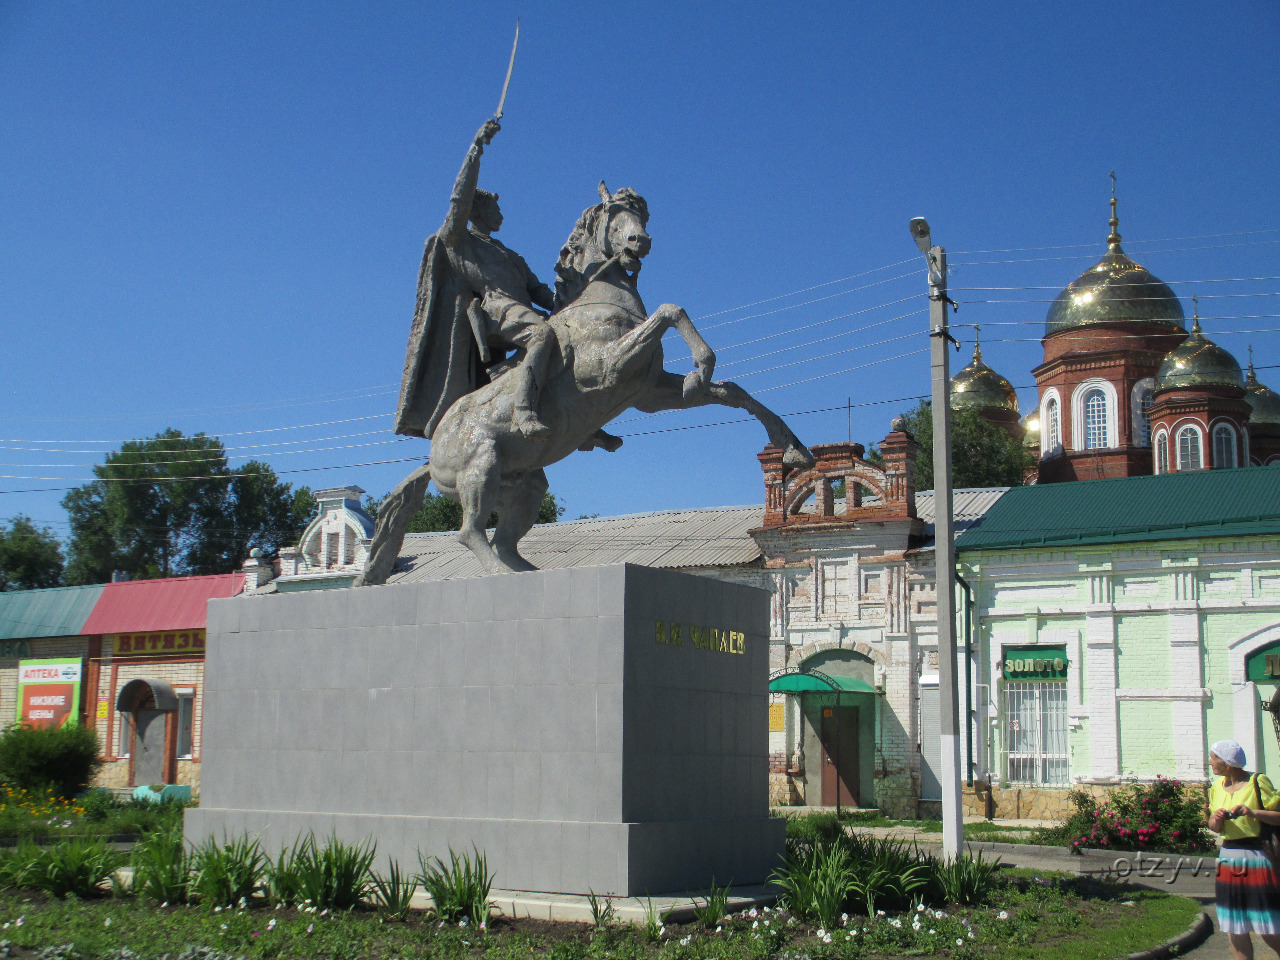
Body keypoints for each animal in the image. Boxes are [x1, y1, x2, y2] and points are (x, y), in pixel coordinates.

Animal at [355, 184, 814, 583]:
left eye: (643, 213)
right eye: (614, 215)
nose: (640, 241)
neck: (600, 302)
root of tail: (432, 450)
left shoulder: (649, 392)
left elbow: (733, 392)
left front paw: (793, 448)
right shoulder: (609, 370)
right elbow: (670, 310)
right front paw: (703, 363)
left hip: (524, 485)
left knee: (503, 541)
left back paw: (532, 574)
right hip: (480, 467)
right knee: (470, 533)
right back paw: (504, 573)